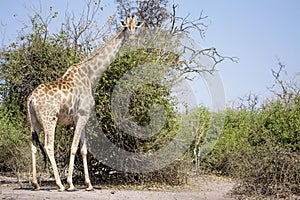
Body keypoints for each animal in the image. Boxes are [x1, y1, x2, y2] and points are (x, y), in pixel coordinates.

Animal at [26, 16, 142, 191]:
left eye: (136, 27)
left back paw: (35, 183)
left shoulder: (82, 118)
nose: (134, 39)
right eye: (127, 28)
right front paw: (70, 183)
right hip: (49, 120)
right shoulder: (81, 115)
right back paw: (59, 184)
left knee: (33, 145)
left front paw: (88, 184)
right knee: (48, 146)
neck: (90, 76)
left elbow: (84, 150)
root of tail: (31, 98)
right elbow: (74, 147)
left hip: (34, 121)